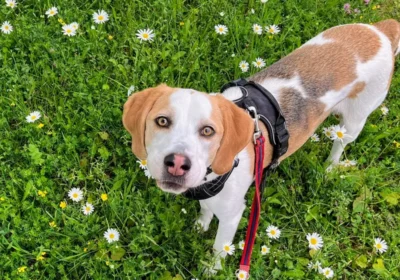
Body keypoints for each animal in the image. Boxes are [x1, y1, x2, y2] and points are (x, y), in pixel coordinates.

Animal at [122, 19, 400, 272]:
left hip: (355, 120)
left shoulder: (232, 216)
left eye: (208, 131)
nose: (177, 164)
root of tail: (380, 30)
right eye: (162, 121)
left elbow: (217, 251)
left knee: (340, 143)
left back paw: (331, 167)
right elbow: (205, 209)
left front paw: (210, 270)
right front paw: (201, 223)